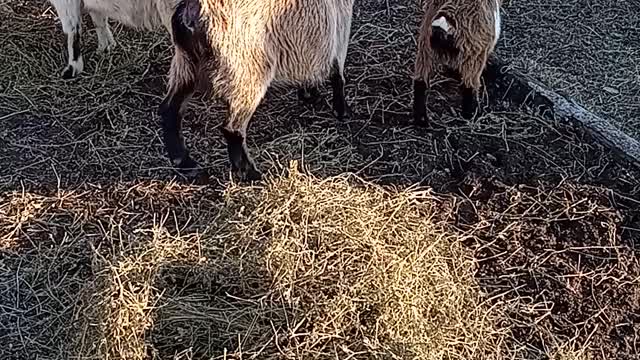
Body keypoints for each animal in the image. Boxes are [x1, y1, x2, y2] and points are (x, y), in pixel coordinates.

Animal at [157, 0, 352, 183]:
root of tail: (191, 14)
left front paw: (309, 92)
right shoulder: (338, 23)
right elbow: (337, 71)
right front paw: (341, 109)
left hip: (187, 66)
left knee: (170, 110)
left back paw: (185, 164)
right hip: (248, 71)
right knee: (232, 128)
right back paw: (250, 172)